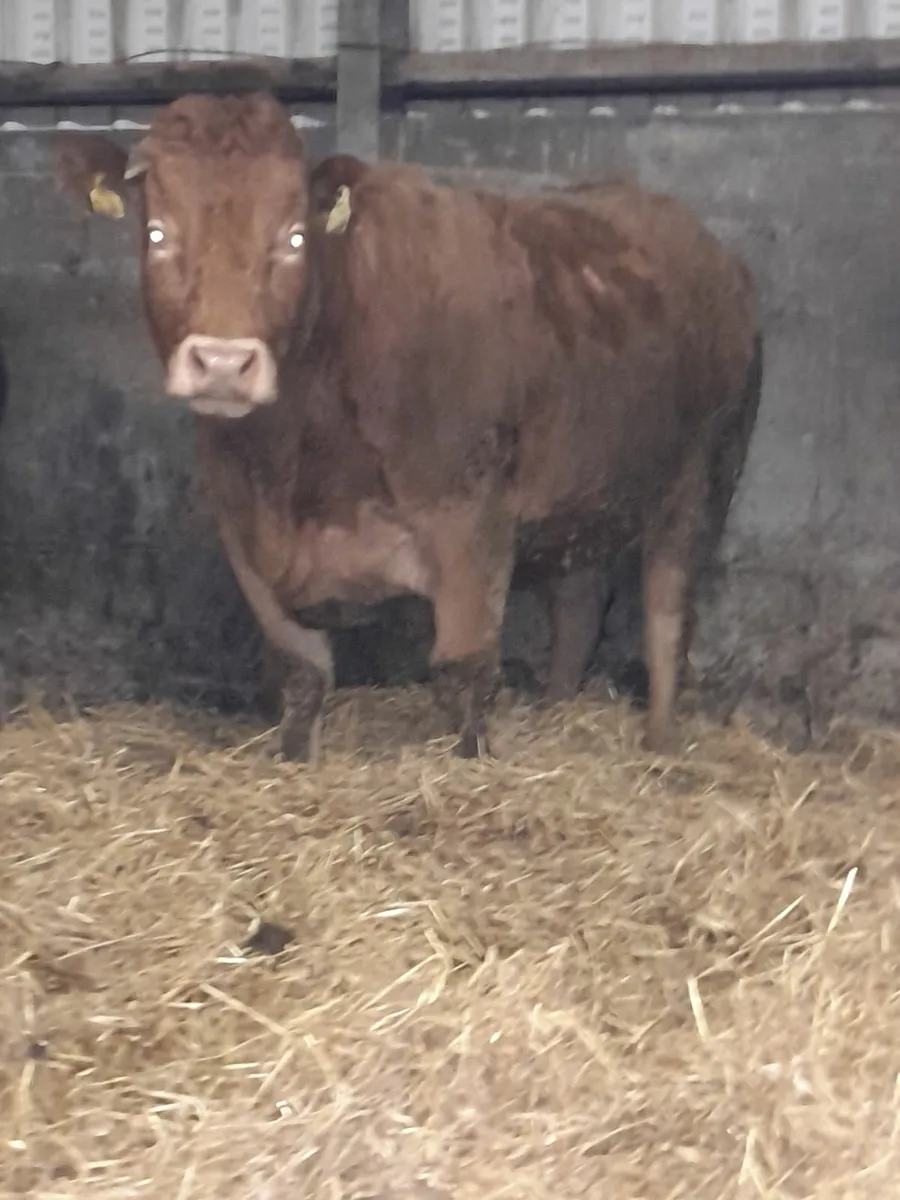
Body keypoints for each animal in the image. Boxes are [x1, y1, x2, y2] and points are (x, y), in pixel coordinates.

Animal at [54, 91, 761, 763]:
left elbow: (463, 674)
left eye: (294, 238)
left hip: (703, 477)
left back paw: (659, 742)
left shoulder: (470, 522)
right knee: (579, 608)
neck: (301, 459)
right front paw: (293, 760)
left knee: (667, 612)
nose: (224, 364)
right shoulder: (244, 529)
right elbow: (301, 674)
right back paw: (556, 715)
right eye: (156, 234)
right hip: (579, 496)